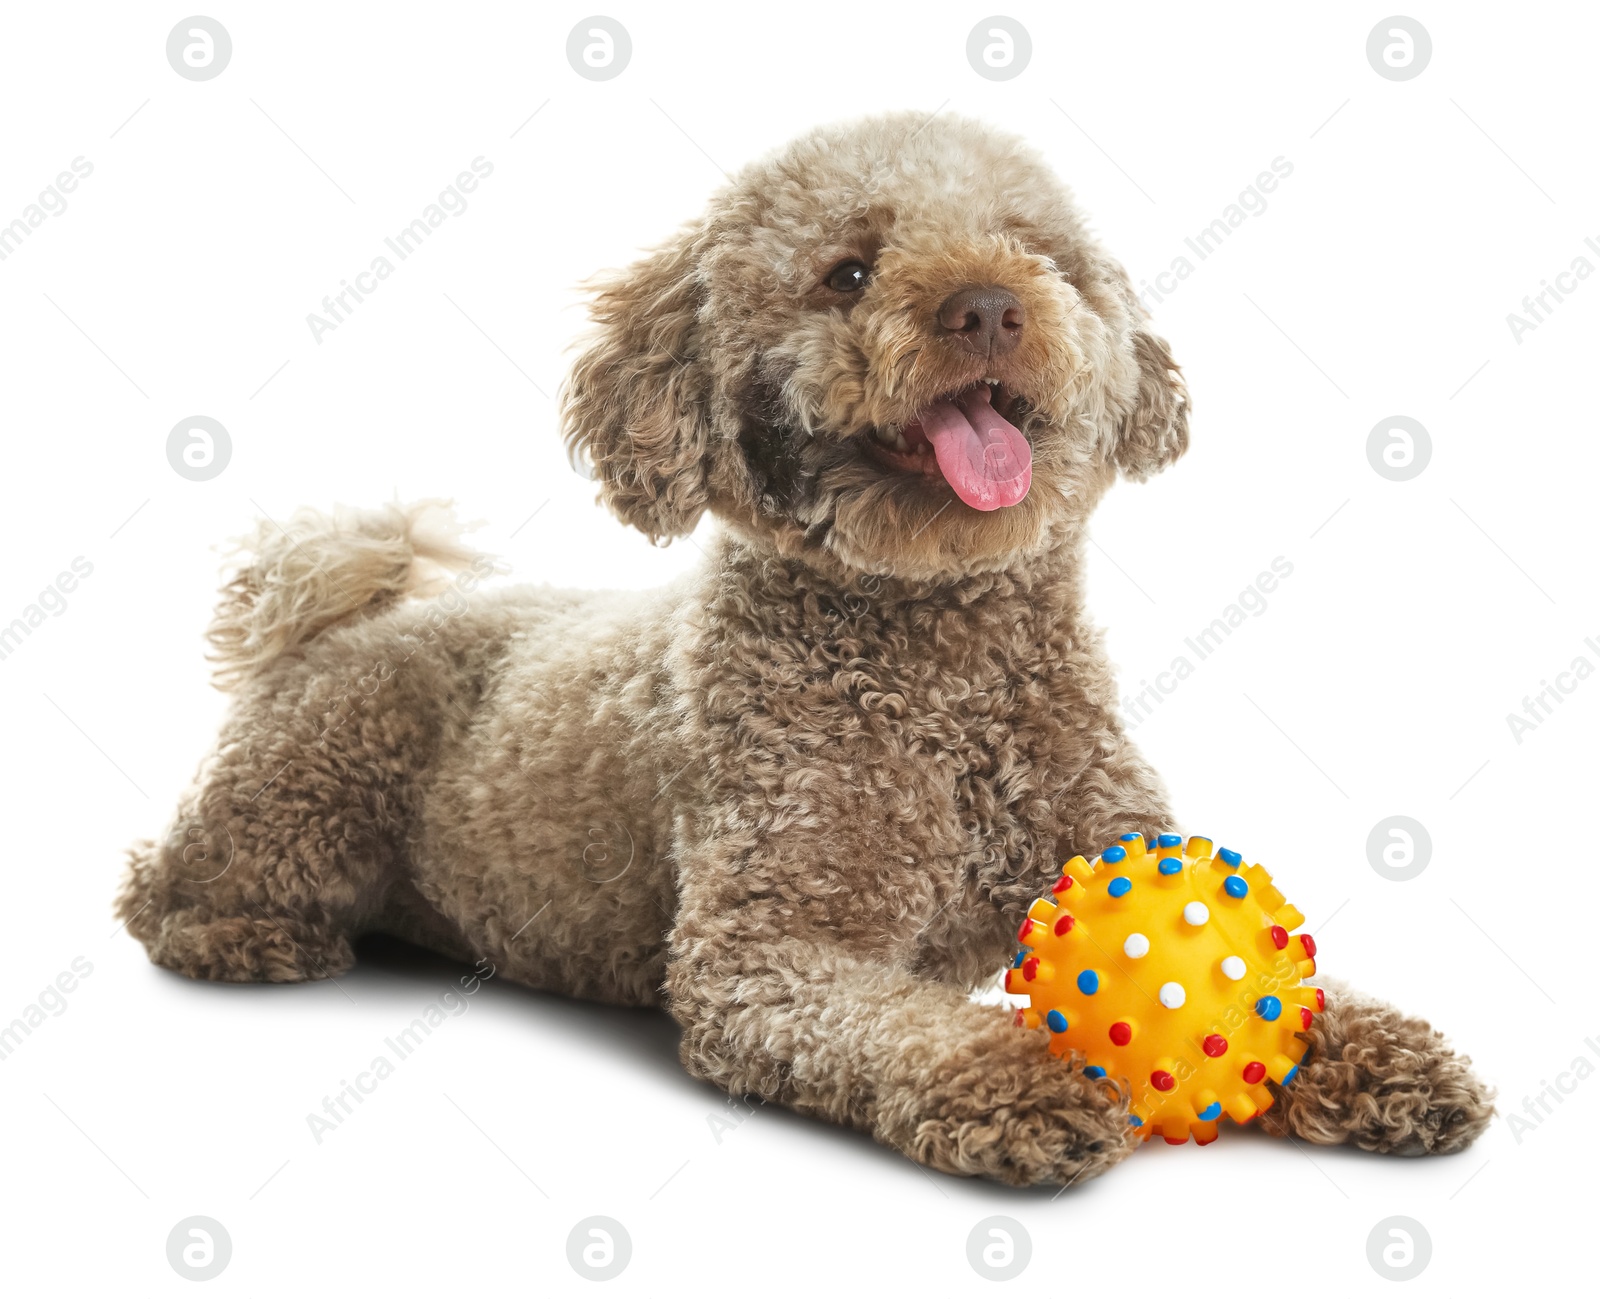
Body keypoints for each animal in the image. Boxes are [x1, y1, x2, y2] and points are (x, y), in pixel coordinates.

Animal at [118, 116, 1491, 1183]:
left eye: (1036, 251)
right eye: (847, 271)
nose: (987, 305)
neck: (941, 665)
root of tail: (347, 614)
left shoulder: (1098, 835)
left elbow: (1293, 990)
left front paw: (1374, 1054)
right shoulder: (766, 955)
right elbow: (906, 1028)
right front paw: (1023, 1083)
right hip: (307, 793)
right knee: (158, 886)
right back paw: (242, 939)